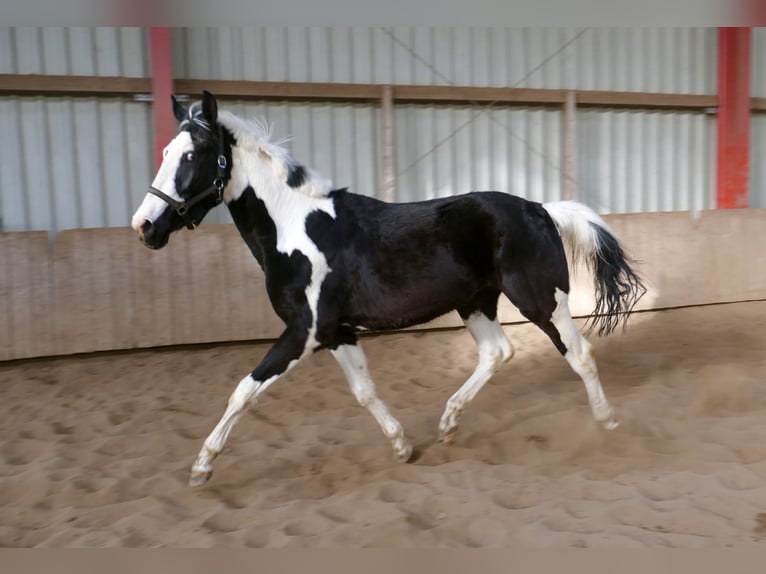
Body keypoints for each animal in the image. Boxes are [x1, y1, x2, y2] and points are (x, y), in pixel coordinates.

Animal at [131, 91, 646, 487]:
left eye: (191, 156)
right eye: (165, 153)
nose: (144, 226)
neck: (293, 228)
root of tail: (540, 208)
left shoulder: (304, 332)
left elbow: (243, 391)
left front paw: (201, 468)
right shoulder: (336, 332)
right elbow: (364, 391)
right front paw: (402, 447)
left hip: (541, 300)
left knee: (579, 354)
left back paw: (607, 422)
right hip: (475, 303)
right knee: (498, 352)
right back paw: (448, 424)